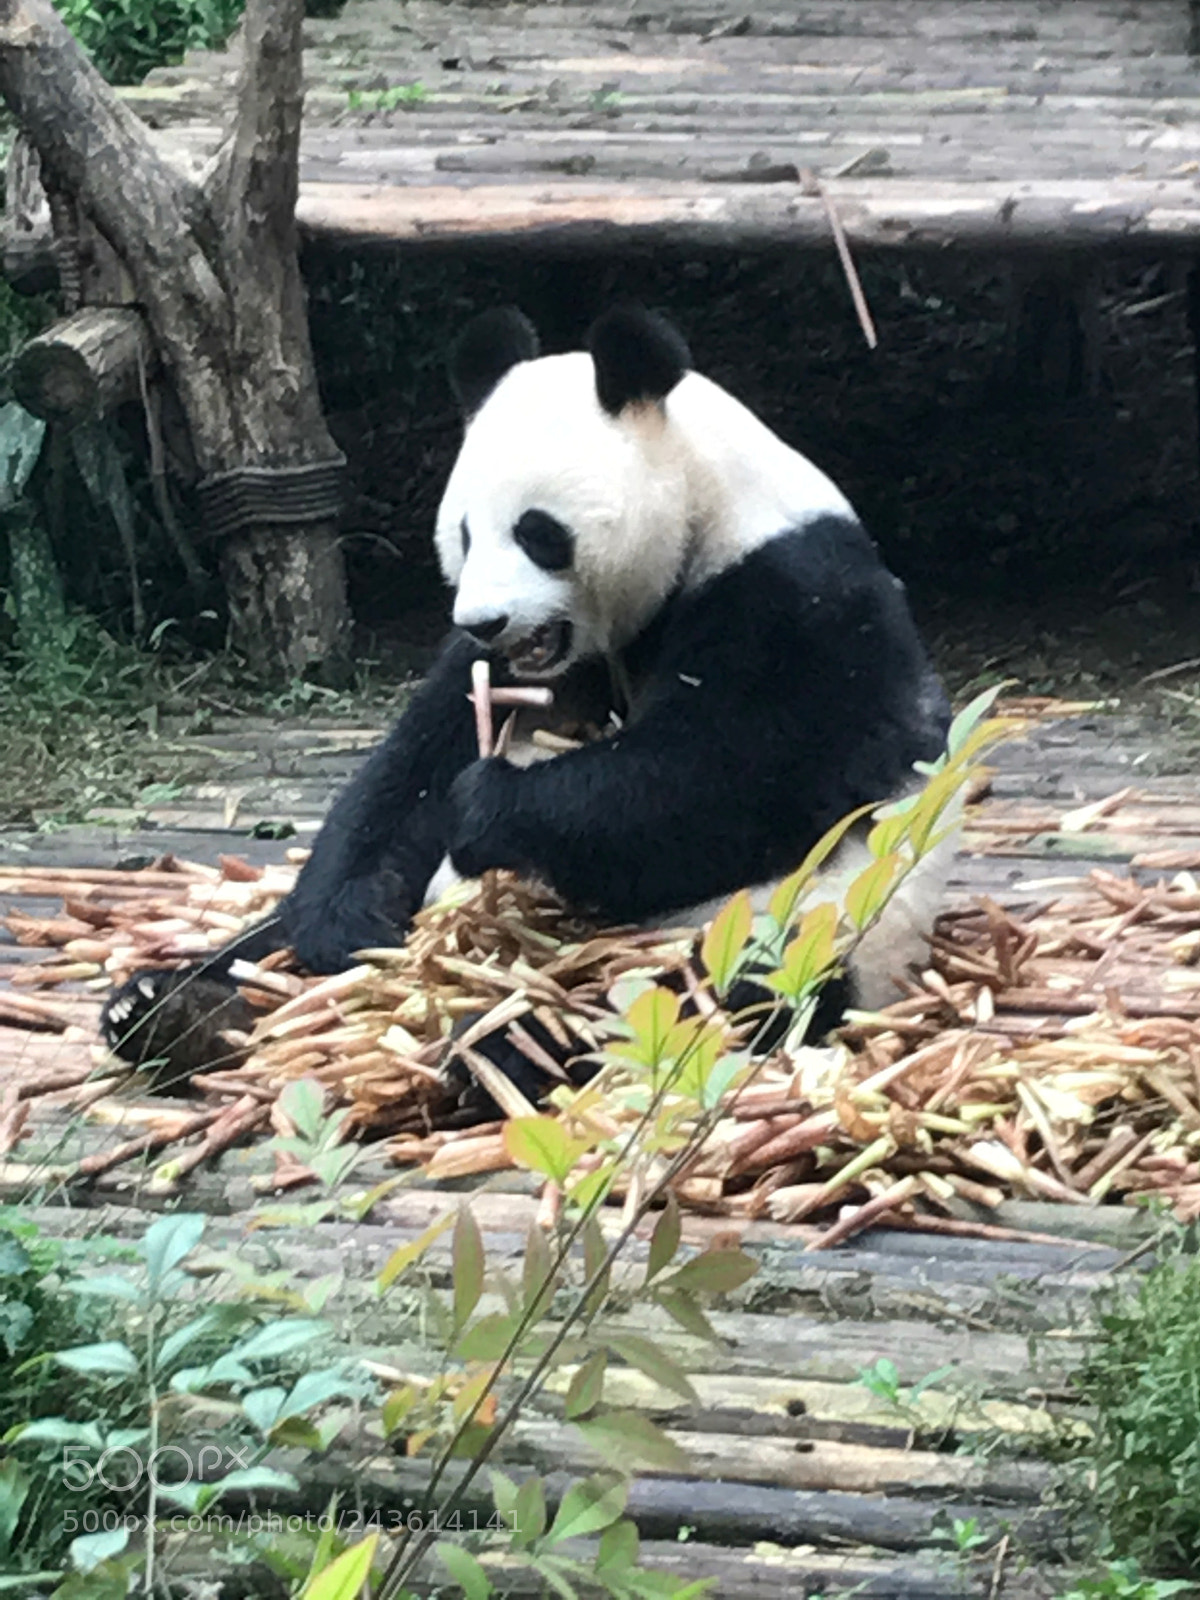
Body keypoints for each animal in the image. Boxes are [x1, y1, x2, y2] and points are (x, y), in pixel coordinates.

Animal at [101, 305, 952, 1097]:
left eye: (538, 532)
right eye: (465, 533)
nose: (485, 619)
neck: (702, 499)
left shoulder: (798, 594)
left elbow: (745, 777)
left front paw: (491, 805)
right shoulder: (506, 669)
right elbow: (406, 777)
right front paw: (347, 919)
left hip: (798, 926)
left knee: (678, 1000)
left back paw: (494, 1048)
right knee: (257, 951)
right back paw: (167, 1006)